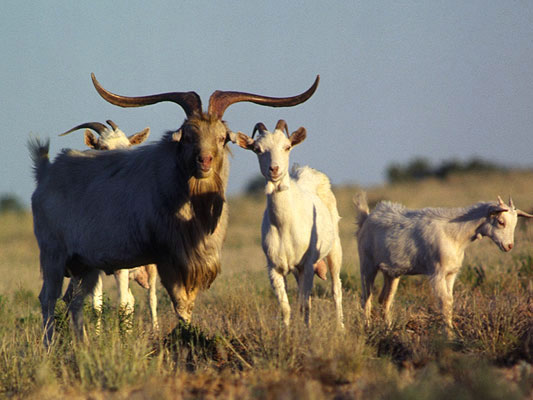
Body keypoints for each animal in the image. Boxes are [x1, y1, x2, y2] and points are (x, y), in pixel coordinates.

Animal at [59, 119, 158, 332]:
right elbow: (97, 305)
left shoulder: (121, 268)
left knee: (151, 298)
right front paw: (97, 336)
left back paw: (155, 331)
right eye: (103, 147)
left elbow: (122, 304)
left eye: (128, 146)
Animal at [235, 119, 342, 328]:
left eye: (287, 146)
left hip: (334, 248)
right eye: (257, 149)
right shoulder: (274, 268)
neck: (285, 226)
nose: (274, 169)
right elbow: (287, 307)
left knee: (336, 289)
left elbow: (304, 304)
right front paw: (286, 333)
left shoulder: (307, 265)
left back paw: (341, 328)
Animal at [354, 193, 532, 334]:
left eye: (515, 224)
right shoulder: (436, 274)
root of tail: (366, 218)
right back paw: (367, 328)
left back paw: (389, 329)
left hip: (391, 273)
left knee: (384, 300)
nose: (509, 246)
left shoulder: (451, 274)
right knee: (366, 298)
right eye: (501, 222)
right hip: (367, 265)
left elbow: (450, 301)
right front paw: (449, 334)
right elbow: (444, 302)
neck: (454, 234)